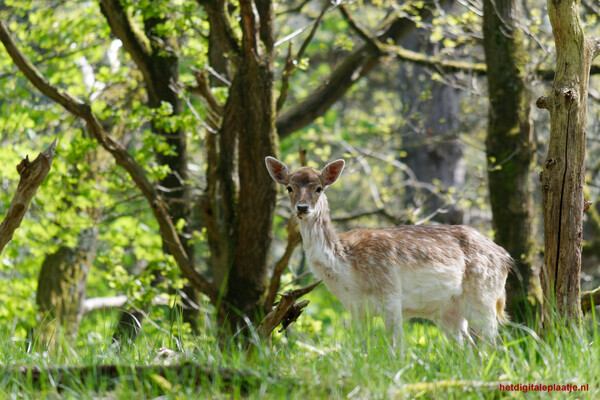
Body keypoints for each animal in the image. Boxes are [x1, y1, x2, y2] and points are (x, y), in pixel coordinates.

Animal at [264, 156, 512, 346]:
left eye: (319, 188)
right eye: (289, 188)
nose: (302, 207)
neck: (347, 269)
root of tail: (506, 257)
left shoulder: (391, 292)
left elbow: (395, 348)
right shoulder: (354, 308)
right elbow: (360, 348)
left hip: (483, 295)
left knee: (495, 345)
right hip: (448, 311)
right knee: (470, 348)